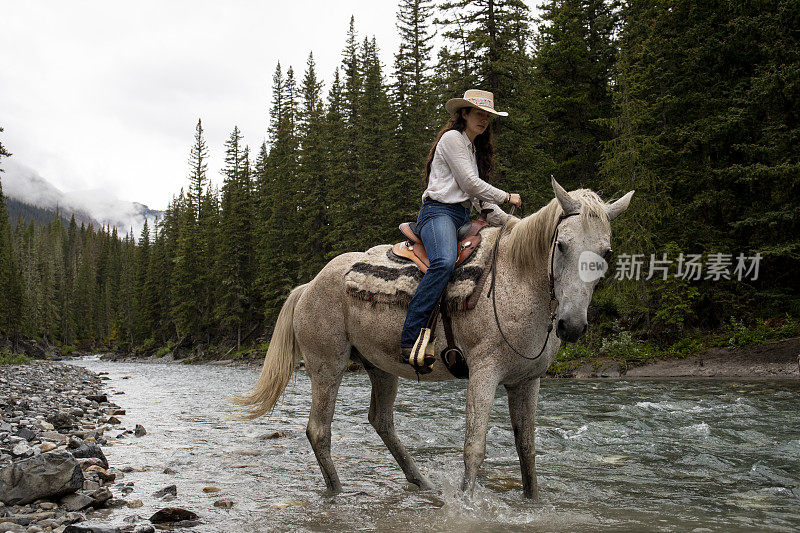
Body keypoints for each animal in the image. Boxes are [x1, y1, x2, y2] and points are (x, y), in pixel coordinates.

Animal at [238, 179, 632, 498]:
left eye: (607, 252)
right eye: (562, 245)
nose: (572, 325)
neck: (515, 282)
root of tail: (308, 285)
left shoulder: (527, 380)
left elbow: (527, 449)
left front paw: (532, 501)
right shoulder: (484, 372)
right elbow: (474, 447)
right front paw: (466, 503)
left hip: (380, 366)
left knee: (381, 420)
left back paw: (422, 483)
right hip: (327, 364)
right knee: (319, 430)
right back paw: (338, 492)